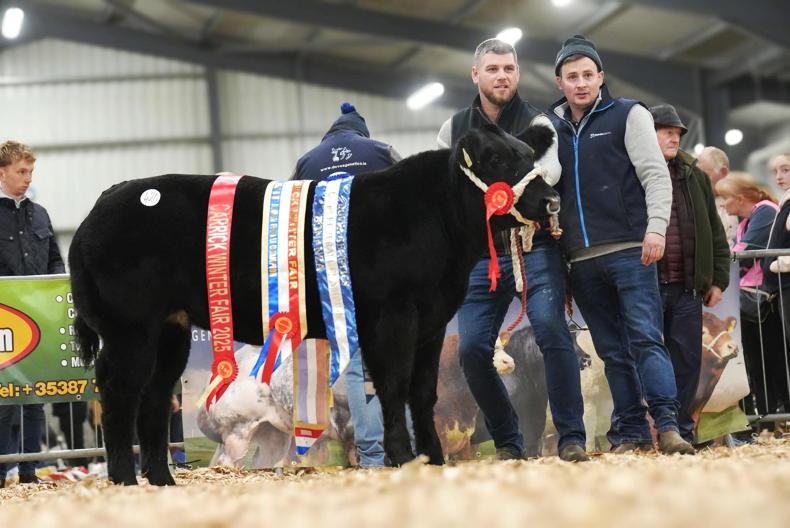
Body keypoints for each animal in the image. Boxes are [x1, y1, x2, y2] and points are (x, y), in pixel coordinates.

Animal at [69, 124, 559, 485]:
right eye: (497, 160)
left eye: (528, 156)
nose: (552, 200)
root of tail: (107, 200)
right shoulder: (394, 316)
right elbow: (394, 387)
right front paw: (402, 458)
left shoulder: (433, 320)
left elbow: (423, 392)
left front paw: (433, 460)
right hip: (130, 327)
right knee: (119, 391)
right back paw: (124, 478)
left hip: (170, 329)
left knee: (153, 396)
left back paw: (161, 480)